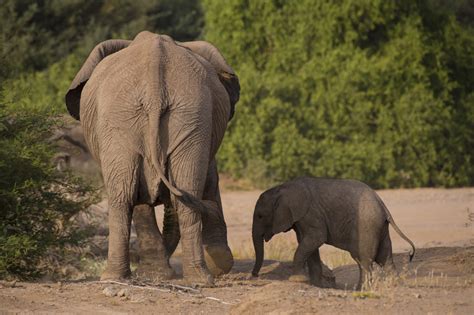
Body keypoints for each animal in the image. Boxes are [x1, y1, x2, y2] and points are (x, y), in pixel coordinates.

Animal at [64, 31, 241, 286]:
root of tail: (155, 88)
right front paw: (158, 274)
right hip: (156, 116)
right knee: (142, 195)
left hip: (171, 116)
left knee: (134, 195)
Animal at [252, 177, 414, 290]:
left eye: (260, 216)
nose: (254, 275)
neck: (281, 188)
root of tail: (383, 206)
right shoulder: (301, 219)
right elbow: (309, 245)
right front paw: (317, 285)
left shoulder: (311, 214)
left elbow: (316, 238)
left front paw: (298, 280)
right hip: (380, 228)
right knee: (384, 258)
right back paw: (391, 286)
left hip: (367, 226)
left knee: (364, 259)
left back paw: (362, 290)